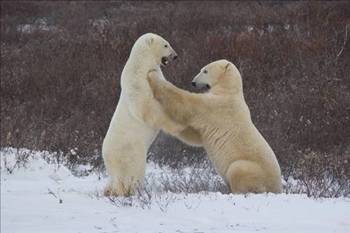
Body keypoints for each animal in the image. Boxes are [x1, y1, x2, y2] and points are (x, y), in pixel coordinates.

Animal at [102, 33, 200, 197]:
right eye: (166, 45)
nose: (175, 56)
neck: (141, 63)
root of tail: (107, 157)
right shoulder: (138, 82)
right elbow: (147, 108)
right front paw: (178, 127)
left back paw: (109, 190)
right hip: (131, 151)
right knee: (133, 172)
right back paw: (132, 190)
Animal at [147, 59, 282, 193]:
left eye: (205, 70)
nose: (193, 82)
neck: (229, 90)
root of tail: (277, 187)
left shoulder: (217, 106)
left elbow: (186, 105)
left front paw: (152, 75)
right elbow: (194, 135)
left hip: (254, 170)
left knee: (237, 169)